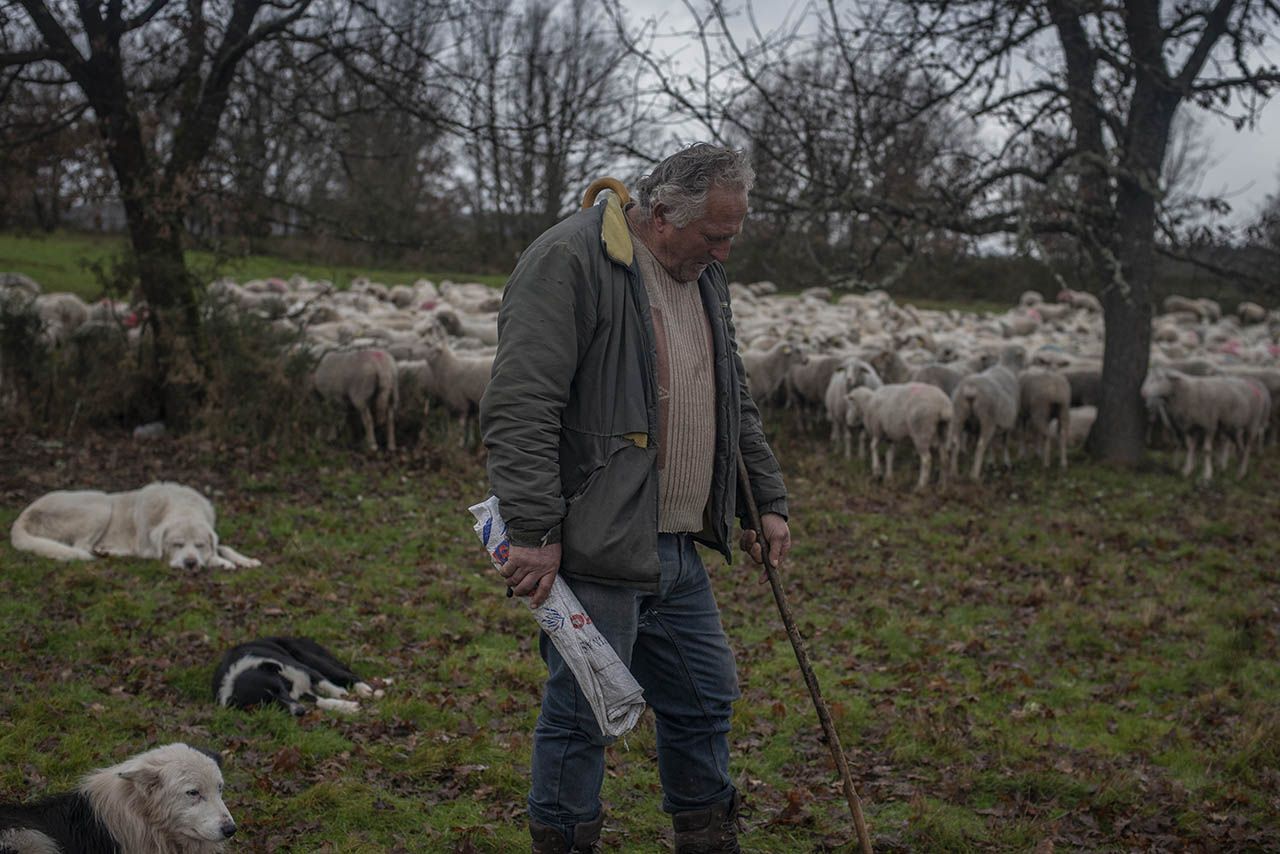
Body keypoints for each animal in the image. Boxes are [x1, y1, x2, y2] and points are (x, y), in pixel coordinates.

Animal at [6, 483, 262, 571]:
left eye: (199, 544)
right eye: (176, 545)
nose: (190, 564)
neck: (183, 506)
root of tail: (22, 516)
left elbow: (223, 546)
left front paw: (244, 560)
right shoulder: (150, 549)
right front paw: (221, 562)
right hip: (101, 505)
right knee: (81, 548)